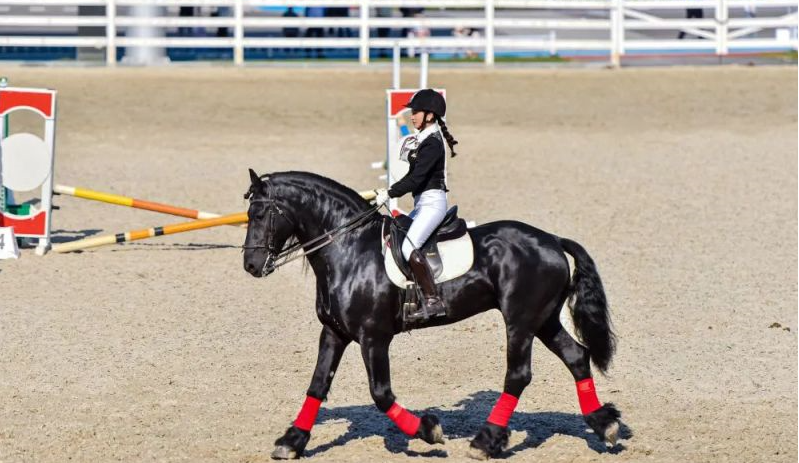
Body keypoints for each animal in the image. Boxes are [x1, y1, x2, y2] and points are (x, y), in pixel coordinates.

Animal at [242, 169, 621, 460]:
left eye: (259, 215)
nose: (251, 265)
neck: (349, 250)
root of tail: (553, 241)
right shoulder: (334, 333)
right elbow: (318, 386)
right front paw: (291, 442)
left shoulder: (373, 337)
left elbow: (381, 394)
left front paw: (428, 430)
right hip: (543, 320)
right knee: (577, 356)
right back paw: (605, 424)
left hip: (520, 322)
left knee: (518, 375)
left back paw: (485, 441)